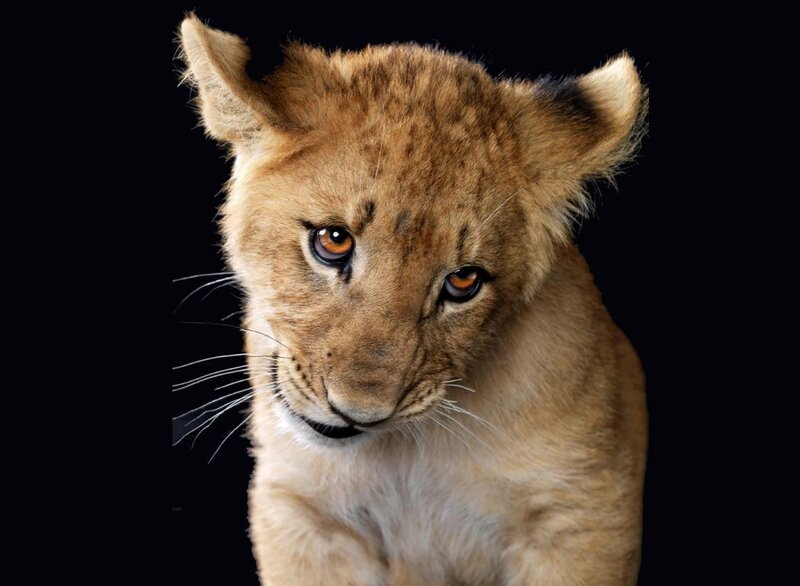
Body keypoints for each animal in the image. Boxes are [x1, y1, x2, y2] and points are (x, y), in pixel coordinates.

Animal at [179, 14, 648, 585]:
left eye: (463, 281)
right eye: (332, 241)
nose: (358, 414)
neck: (401, 453)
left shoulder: (584, 509)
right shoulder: (301, 509)